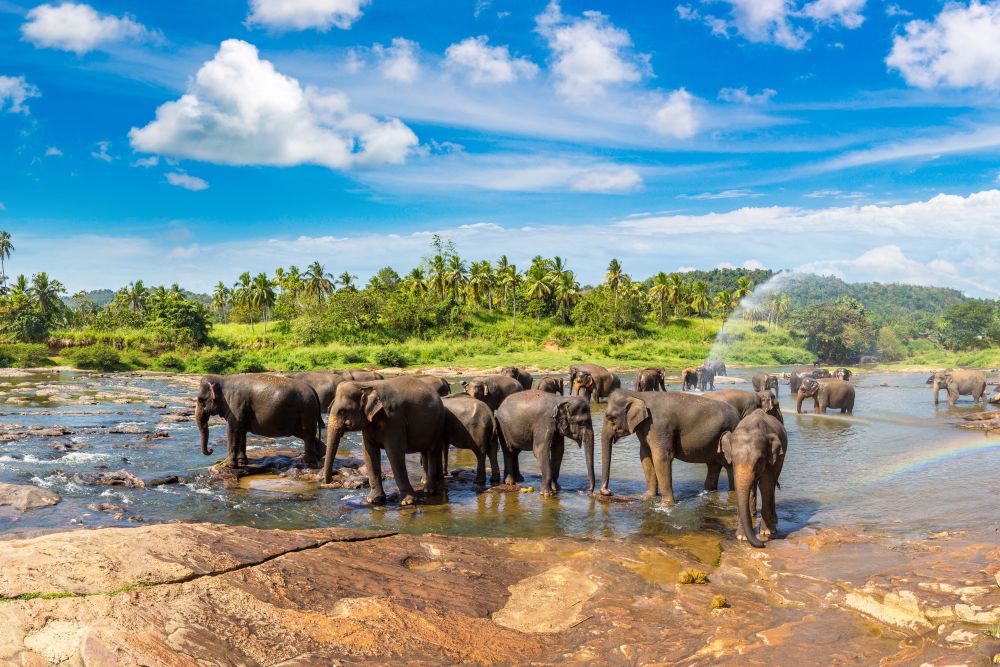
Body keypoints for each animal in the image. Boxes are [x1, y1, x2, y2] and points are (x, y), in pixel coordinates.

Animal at [200, 376, 328, 470]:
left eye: (201, 400)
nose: (211, 450)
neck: (223, 379)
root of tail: (312, 389)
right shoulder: (241, 410)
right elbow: (241, 431)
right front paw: (242, 462)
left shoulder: (236, 405)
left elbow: (233, 429)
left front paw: (228, 465)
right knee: (306, 434)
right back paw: (319, 454)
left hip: (307, 411)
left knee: (307, 433)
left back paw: (307, 461)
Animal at [322, 376, 448, 506]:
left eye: (342, 411)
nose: (333, 481)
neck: (364, 384)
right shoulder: (369, 424)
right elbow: (369, 452)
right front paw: (373, 500)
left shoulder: (393, 418)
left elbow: (394, 452)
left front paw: (407, 502)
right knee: (425, 451)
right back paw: (425, 482)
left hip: (438, 425)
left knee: (432, 451)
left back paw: (429, 490)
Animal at [592, 388, 744, 504]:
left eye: (610, 417)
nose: (608, 491)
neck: (639, 395)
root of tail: (738, 416)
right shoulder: (645, 428)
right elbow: (645, 457)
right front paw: (647, 497)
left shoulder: (660, 426)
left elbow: (661, 458)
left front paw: (666, 505)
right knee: (713, 465)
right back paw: (709, 491)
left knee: (729, 466)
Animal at [720, 408, 788, 548]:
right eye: (732, 459)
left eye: (759, 460)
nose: (762, 544)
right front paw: (741, 537)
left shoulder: (769, 457)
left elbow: (766, 484)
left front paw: (766, 532)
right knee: (753, 487)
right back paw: (752, 514)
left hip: (781, 458)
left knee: (771, 485)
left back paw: (773, 525)